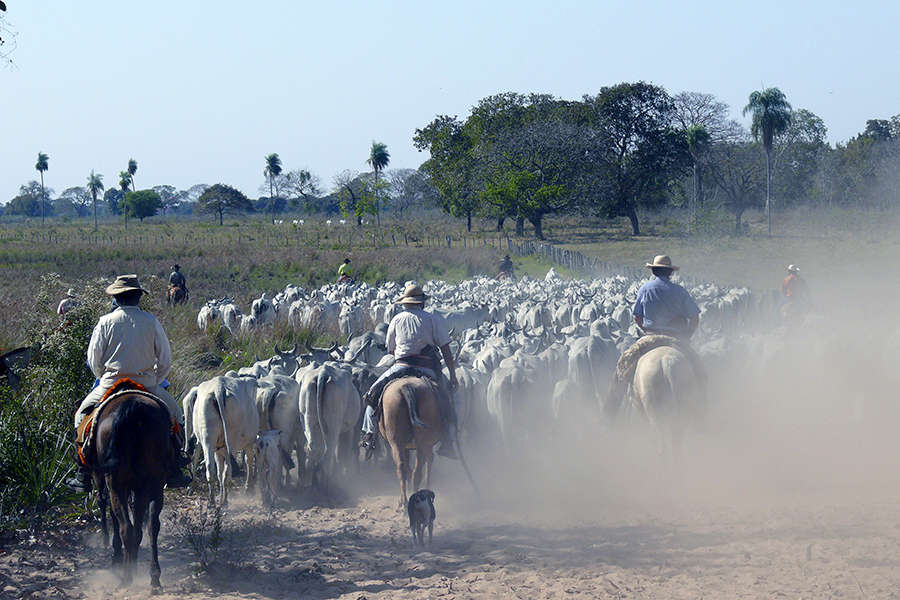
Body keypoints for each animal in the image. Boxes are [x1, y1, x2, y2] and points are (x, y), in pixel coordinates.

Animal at [91, 393, 173, 589]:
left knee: (125, 527)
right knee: (150, 526)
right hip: (153, 482)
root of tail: (133, 407)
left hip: (115, 482)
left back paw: (126, 576)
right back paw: (153, 576)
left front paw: (116, 554)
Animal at [379, 377, 443, 510]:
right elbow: (428, 460)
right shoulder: (425, 445)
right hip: (421, 443)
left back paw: (404, 503)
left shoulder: (406, 446)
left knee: (403, 468)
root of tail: (406, 387)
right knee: (417, 470)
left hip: (397, 443)